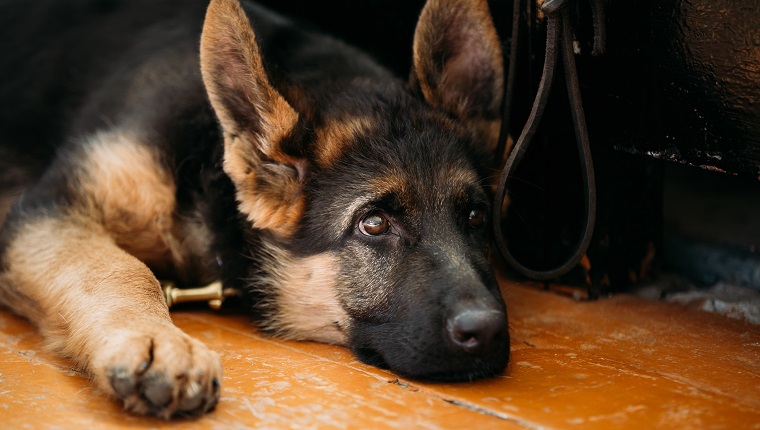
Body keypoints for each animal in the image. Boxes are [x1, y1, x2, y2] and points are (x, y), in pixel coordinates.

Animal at [1, 0, 510, 420]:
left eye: (476, 217)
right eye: (374, 224)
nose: (486, 331)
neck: (208, 166)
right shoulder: (48, 208)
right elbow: (120, 268)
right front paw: (159, 345)